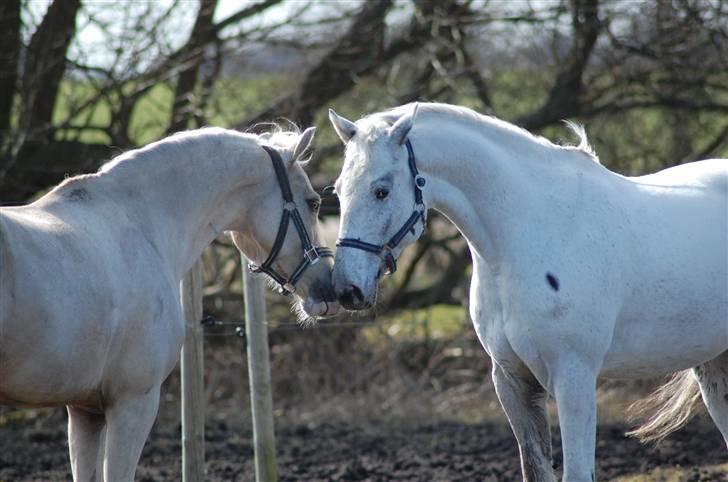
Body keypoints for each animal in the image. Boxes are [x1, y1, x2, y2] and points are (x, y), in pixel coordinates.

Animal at [328, 102, 727, 481]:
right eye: (338, 190)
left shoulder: (574, 378)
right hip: (713, 367)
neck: (529, 230)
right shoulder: (512, 381)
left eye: (381, 191)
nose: (346, 288)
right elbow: (533, 470)